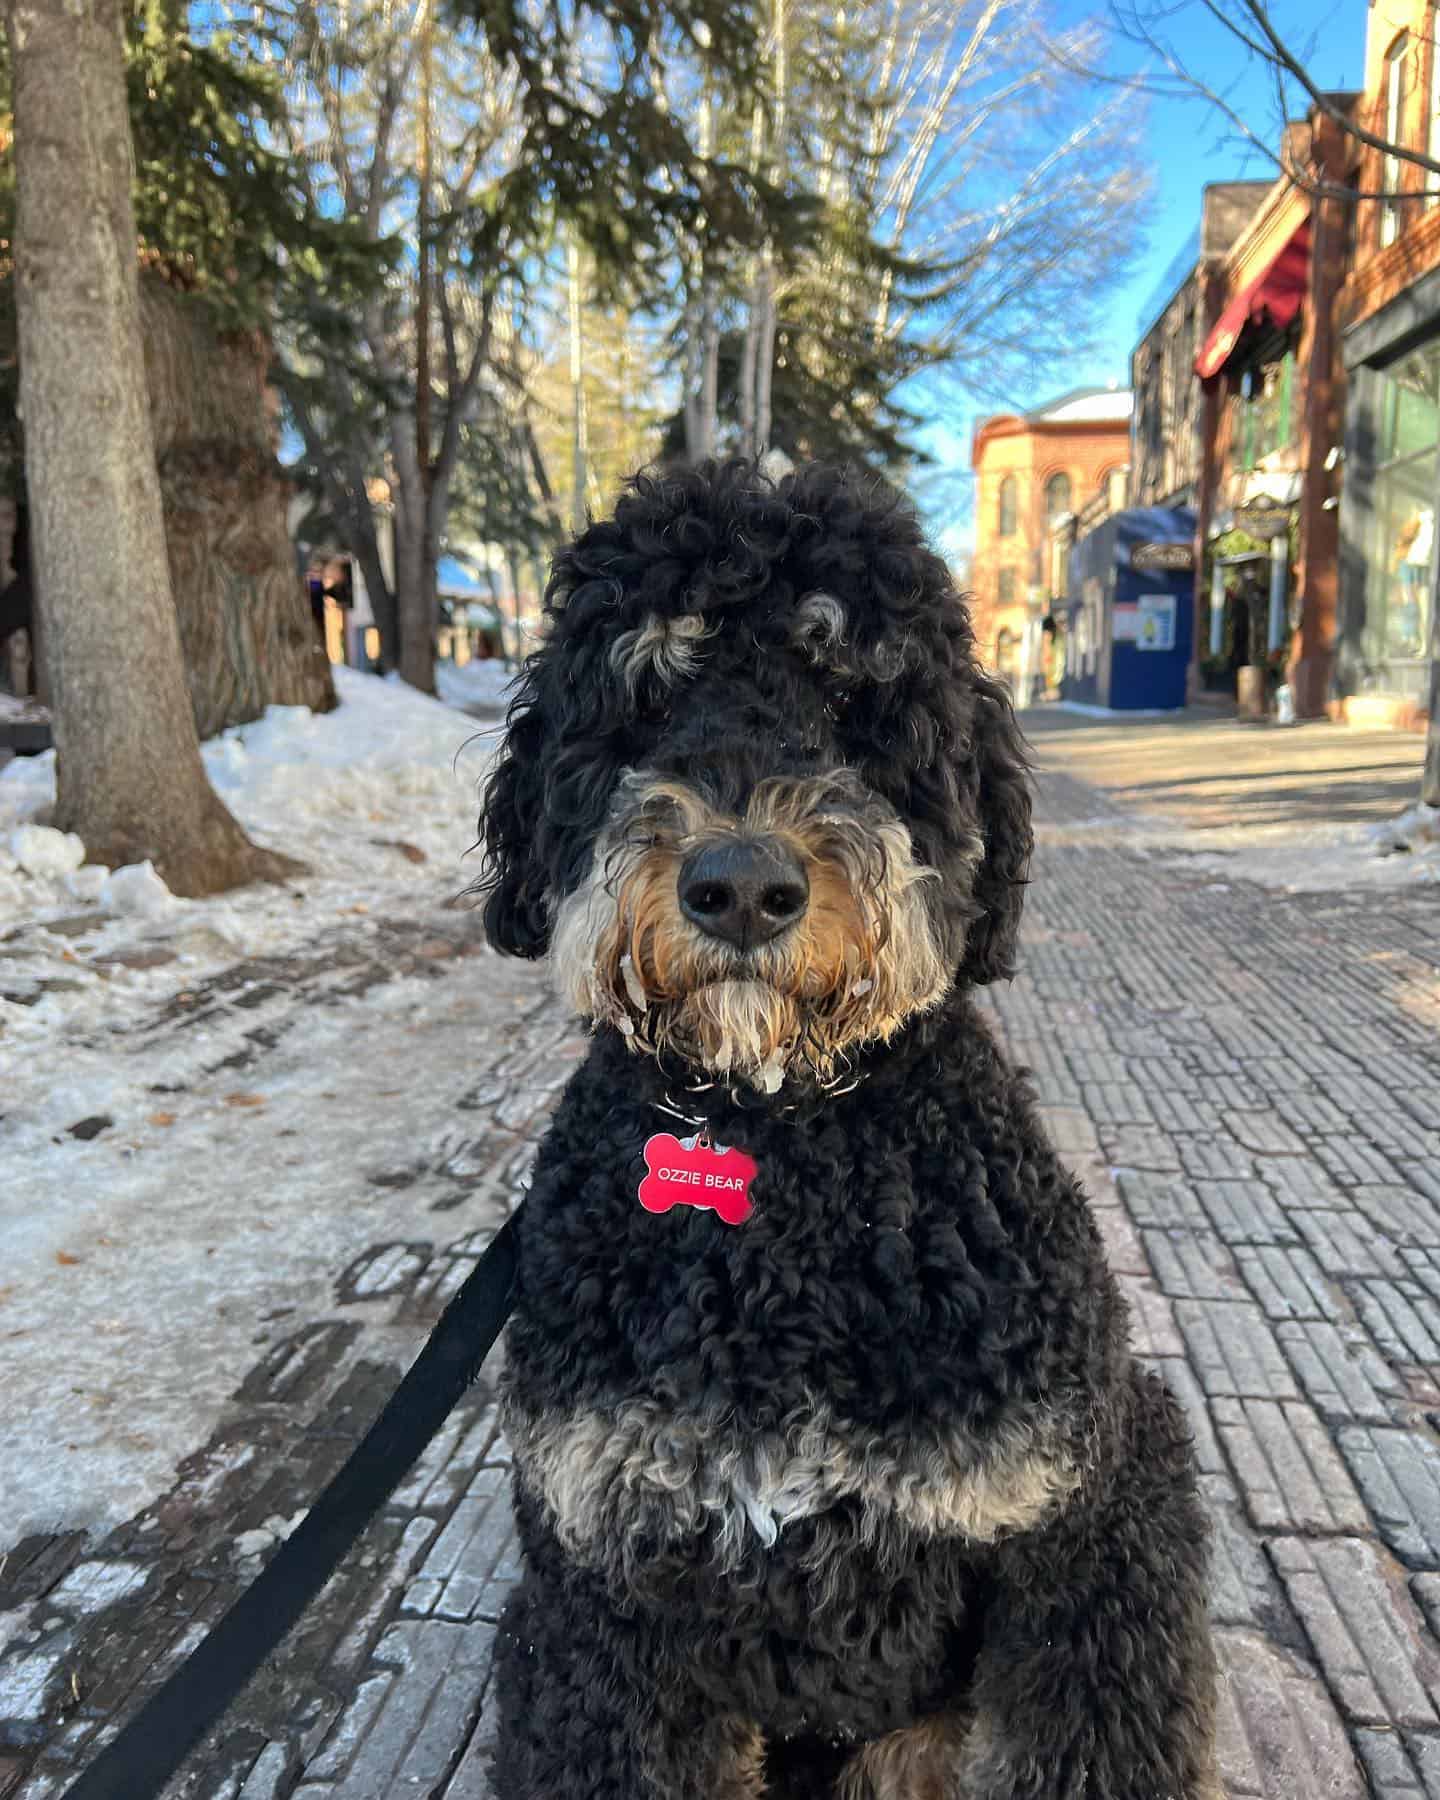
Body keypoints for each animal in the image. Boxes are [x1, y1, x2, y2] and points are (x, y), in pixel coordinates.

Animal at [478, 460, 1224, 1800]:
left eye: (850, 695)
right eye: (648, 695)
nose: (740, 887)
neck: (778, 1148)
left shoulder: (1089, 1510)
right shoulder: (600, 1586)